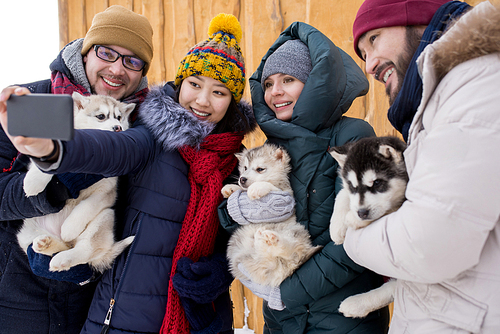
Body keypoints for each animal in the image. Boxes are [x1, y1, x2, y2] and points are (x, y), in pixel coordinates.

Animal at [17, 90, 135, 272]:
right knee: (60, 245)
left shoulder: (106, 191)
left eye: (119, 117)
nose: (118, 128)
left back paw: (63, 257)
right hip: (26, 232)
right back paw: (46, 244)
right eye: (101, 116)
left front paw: (69, 228)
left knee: (84, 249)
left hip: (104, 218)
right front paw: (33, 182)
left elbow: (86, 207)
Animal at [222, 144, 320, 288]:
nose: (242, 179)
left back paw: (272, 239)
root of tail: (288, 268)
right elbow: (242, 190)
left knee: (289, 248)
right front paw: (230, 188)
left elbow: (271, 187)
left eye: (260, 169)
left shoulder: (286, 195)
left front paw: (256, 188)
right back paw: (262, 238)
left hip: (295, 231)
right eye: (245, 168)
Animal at [330, 136, 408, 318]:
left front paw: (356, 305)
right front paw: (337, 225)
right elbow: (343, 193)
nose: (362, 212)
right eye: (353, 185)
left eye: (377, 182)